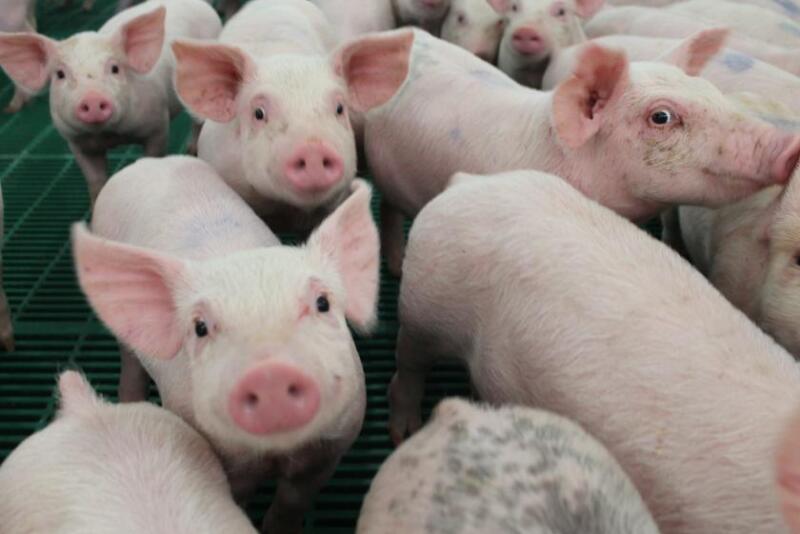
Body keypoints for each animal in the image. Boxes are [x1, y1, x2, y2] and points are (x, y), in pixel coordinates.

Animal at [0, 0, 222, 205]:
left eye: (115, 68)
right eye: (60, 74)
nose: (92, 98)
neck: (111, 136)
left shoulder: (158, 124)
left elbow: (154, 154)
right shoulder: (76, 143)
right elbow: (95, 181)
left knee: (197, 122)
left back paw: (191, 150)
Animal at [72, 156, 379, 534]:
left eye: (322, 303)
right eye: (200, 327)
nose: (270, 373)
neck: (274, 454)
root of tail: (149, 161)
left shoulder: (329, 451)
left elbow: (292, 503)